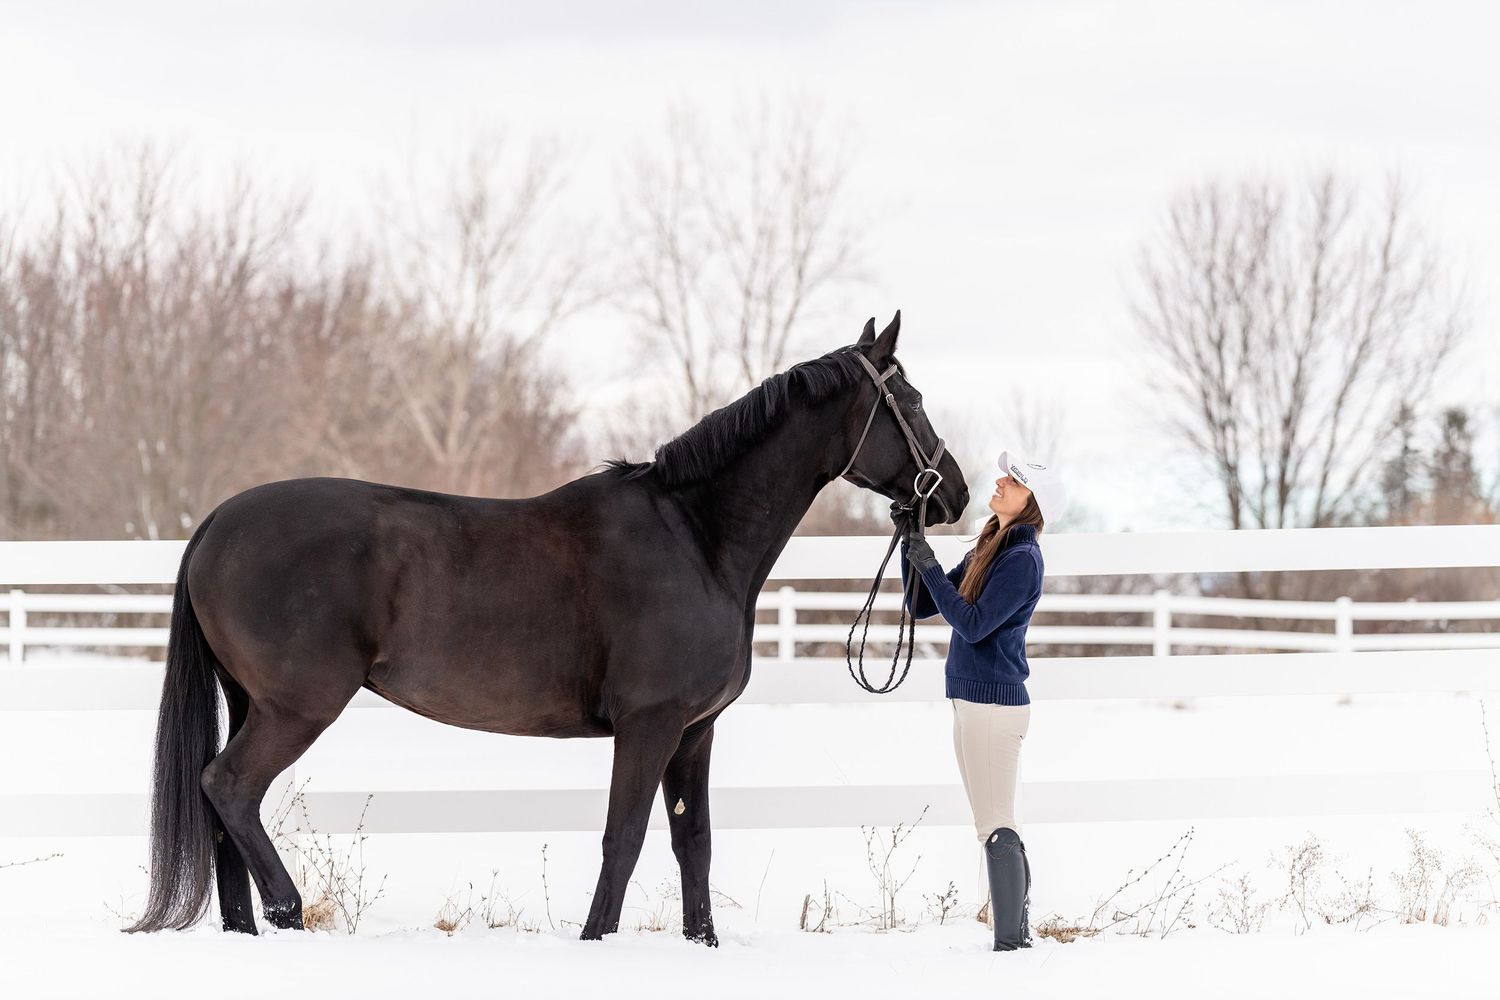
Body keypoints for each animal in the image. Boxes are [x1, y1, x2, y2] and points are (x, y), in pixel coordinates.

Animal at [126, 311, 969, 944]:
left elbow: (691, 842)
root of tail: (217, 522)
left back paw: (246, 927)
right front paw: (596, 940)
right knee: (230, 786)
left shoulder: (695, 731)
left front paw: (702, 945)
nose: (954, 493)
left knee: (222, 807)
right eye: (912, 399)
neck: (696, 537)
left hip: (249, 700)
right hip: (297, 707)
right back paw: (287, 911)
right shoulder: (650, 724)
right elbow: (623, 839)